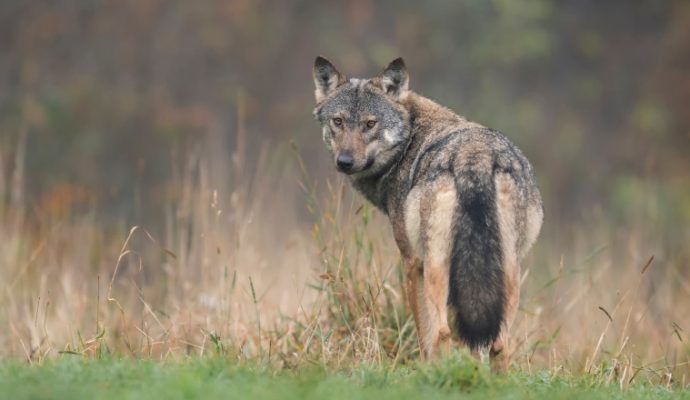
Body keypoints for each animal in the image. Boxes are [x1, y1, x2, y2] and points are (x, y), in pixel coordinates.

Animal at [310, 56, 540, 372]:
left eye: (370, 124)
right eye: (338, 121)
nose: (344, 161)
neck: (409, 141)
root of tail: (474, 156)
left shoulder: (411, 263)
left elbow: (425, 336)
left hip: (436, 266)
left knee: (442, 333)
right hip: (508, 271)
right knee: (499, 344)